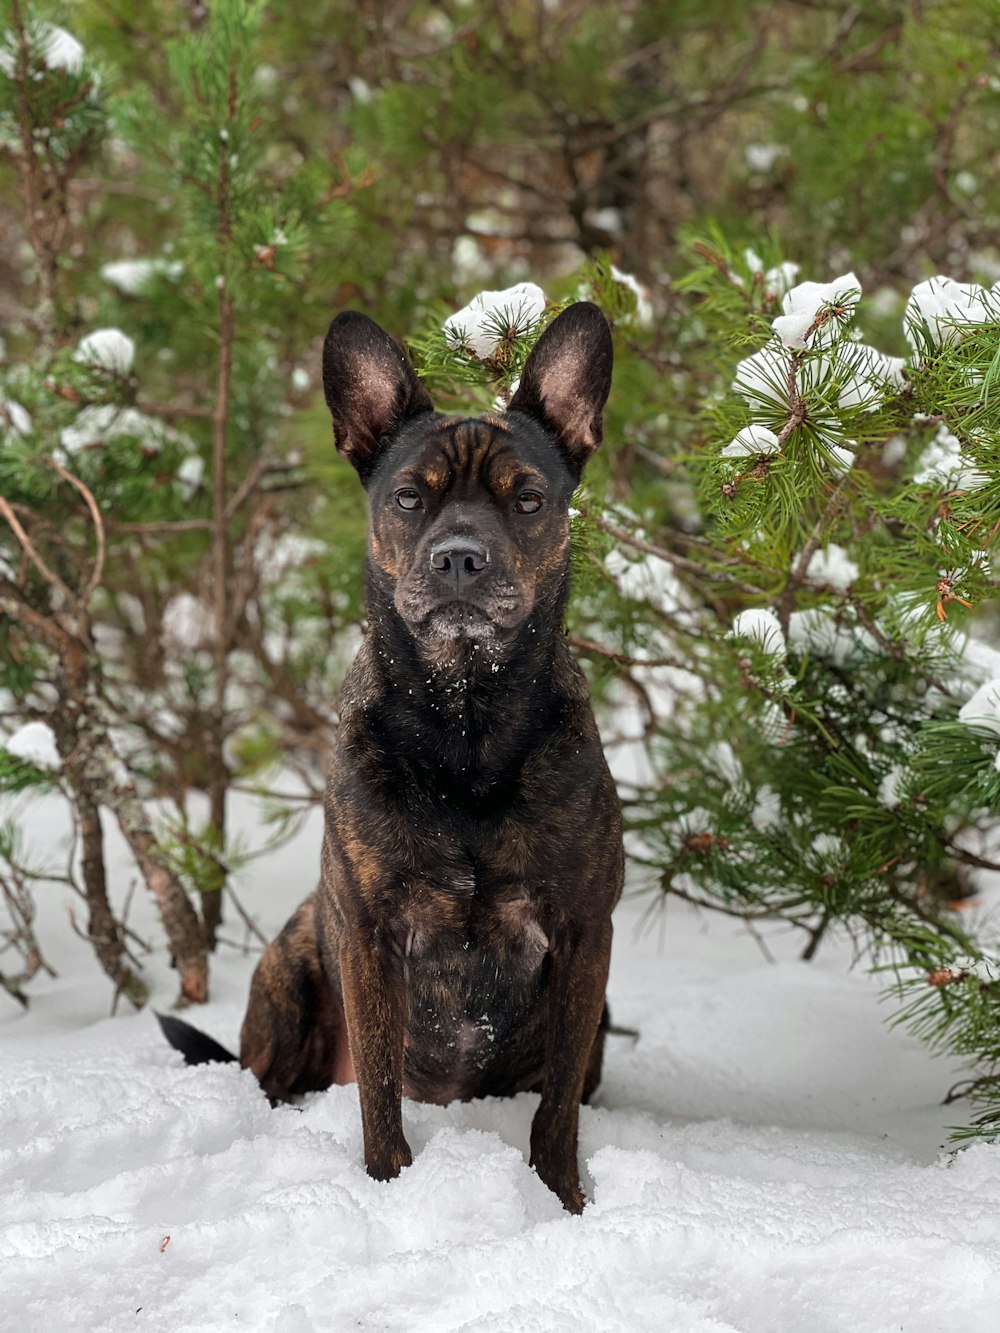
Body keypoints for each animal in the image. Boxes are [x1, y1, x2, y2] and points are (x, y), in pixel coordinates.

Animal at [160, 299, 624, 1210]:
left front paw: (562, 1196)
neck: (467, 725)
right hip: (292, 966)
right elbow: (376, 1086)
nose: (460, 558)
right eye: (410, 496)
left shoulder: (585, 935)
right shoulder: (371, 937)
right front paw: (387, 1183)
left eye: (528, 499)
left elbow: (555, 1105)